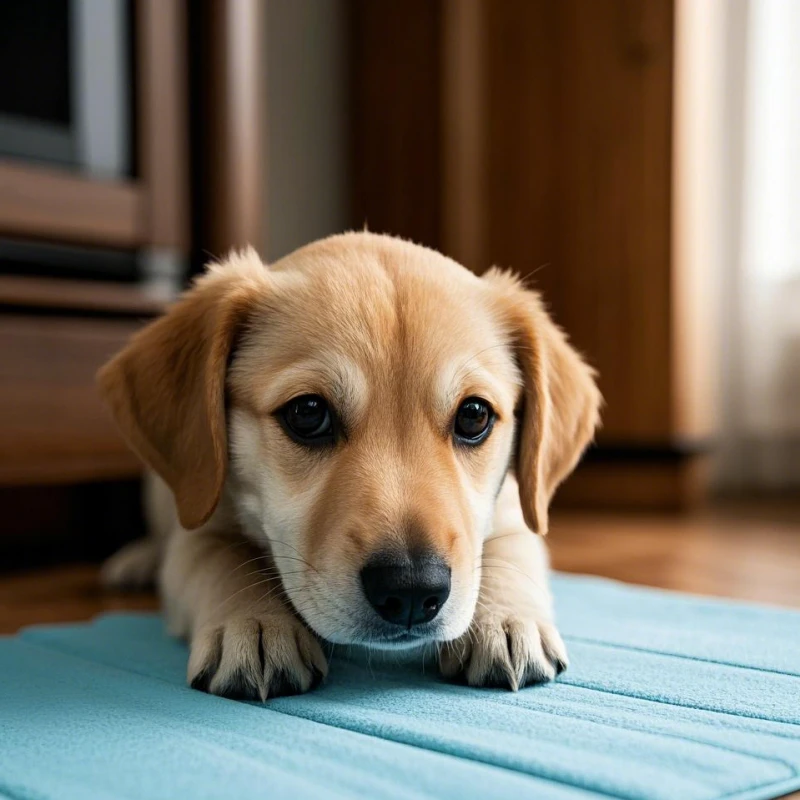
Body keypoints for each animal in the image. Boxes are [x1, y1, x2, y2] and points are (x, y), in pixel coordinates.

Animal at [98, 231, 600, 700]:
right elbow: (221, 561)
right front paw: (255, 624)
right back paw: (136, 561)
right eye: (307, 413)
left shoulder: (515, 513)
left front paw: (507, 620)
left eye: (474, 415)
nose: (413, 590)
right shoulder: (201, 526)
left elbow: (507, 556)